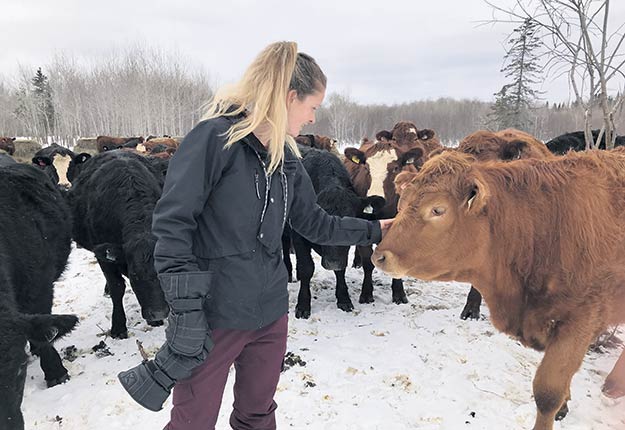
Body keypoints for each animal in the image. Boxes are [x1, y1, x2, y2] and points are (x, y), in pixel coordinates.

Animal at [288, 146, 386, 318]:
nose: (332, 262)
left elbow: (341, 270)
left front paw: (343, 298)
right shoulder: (298, 236)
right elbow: (307, 268)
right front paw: (303, 305)